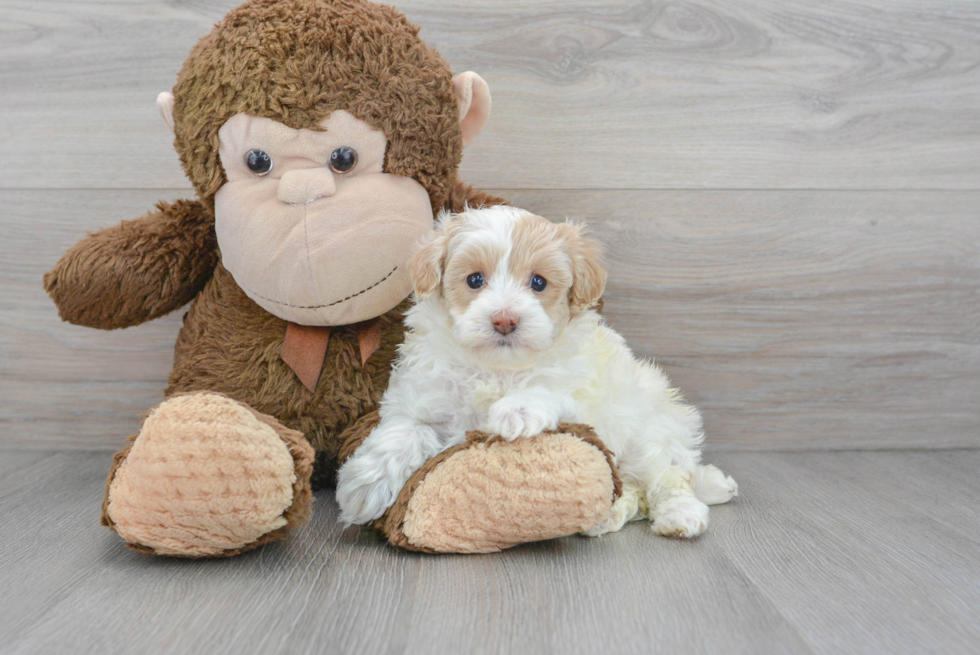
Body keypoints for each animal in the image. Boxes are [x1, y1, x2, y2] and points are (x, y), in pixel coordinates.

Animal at [336, 205, 736, 540]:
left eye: (539, 282)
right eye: (475, 280)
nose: (505, 319)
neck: (495, 369)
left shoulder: (581, 396)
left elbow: (548, 388)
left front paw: (516, 410)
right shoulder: (419, 398)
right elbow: (404, 432)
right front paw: (364, 486)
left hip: (647, 431)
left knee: (666, 477)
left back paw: (680, 515)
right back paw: (607, 516)